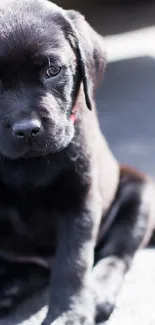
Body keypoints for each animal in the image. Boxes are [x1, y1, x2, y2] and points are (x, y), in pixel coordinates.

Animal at [0, 0, 154, 322]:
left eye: (53, 70)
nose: (26, 129)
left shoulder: (80, 199)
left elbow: (74, 263)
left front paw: (68, 315)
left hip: (139, 191)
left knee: (115, 254)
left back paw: (99, 293)